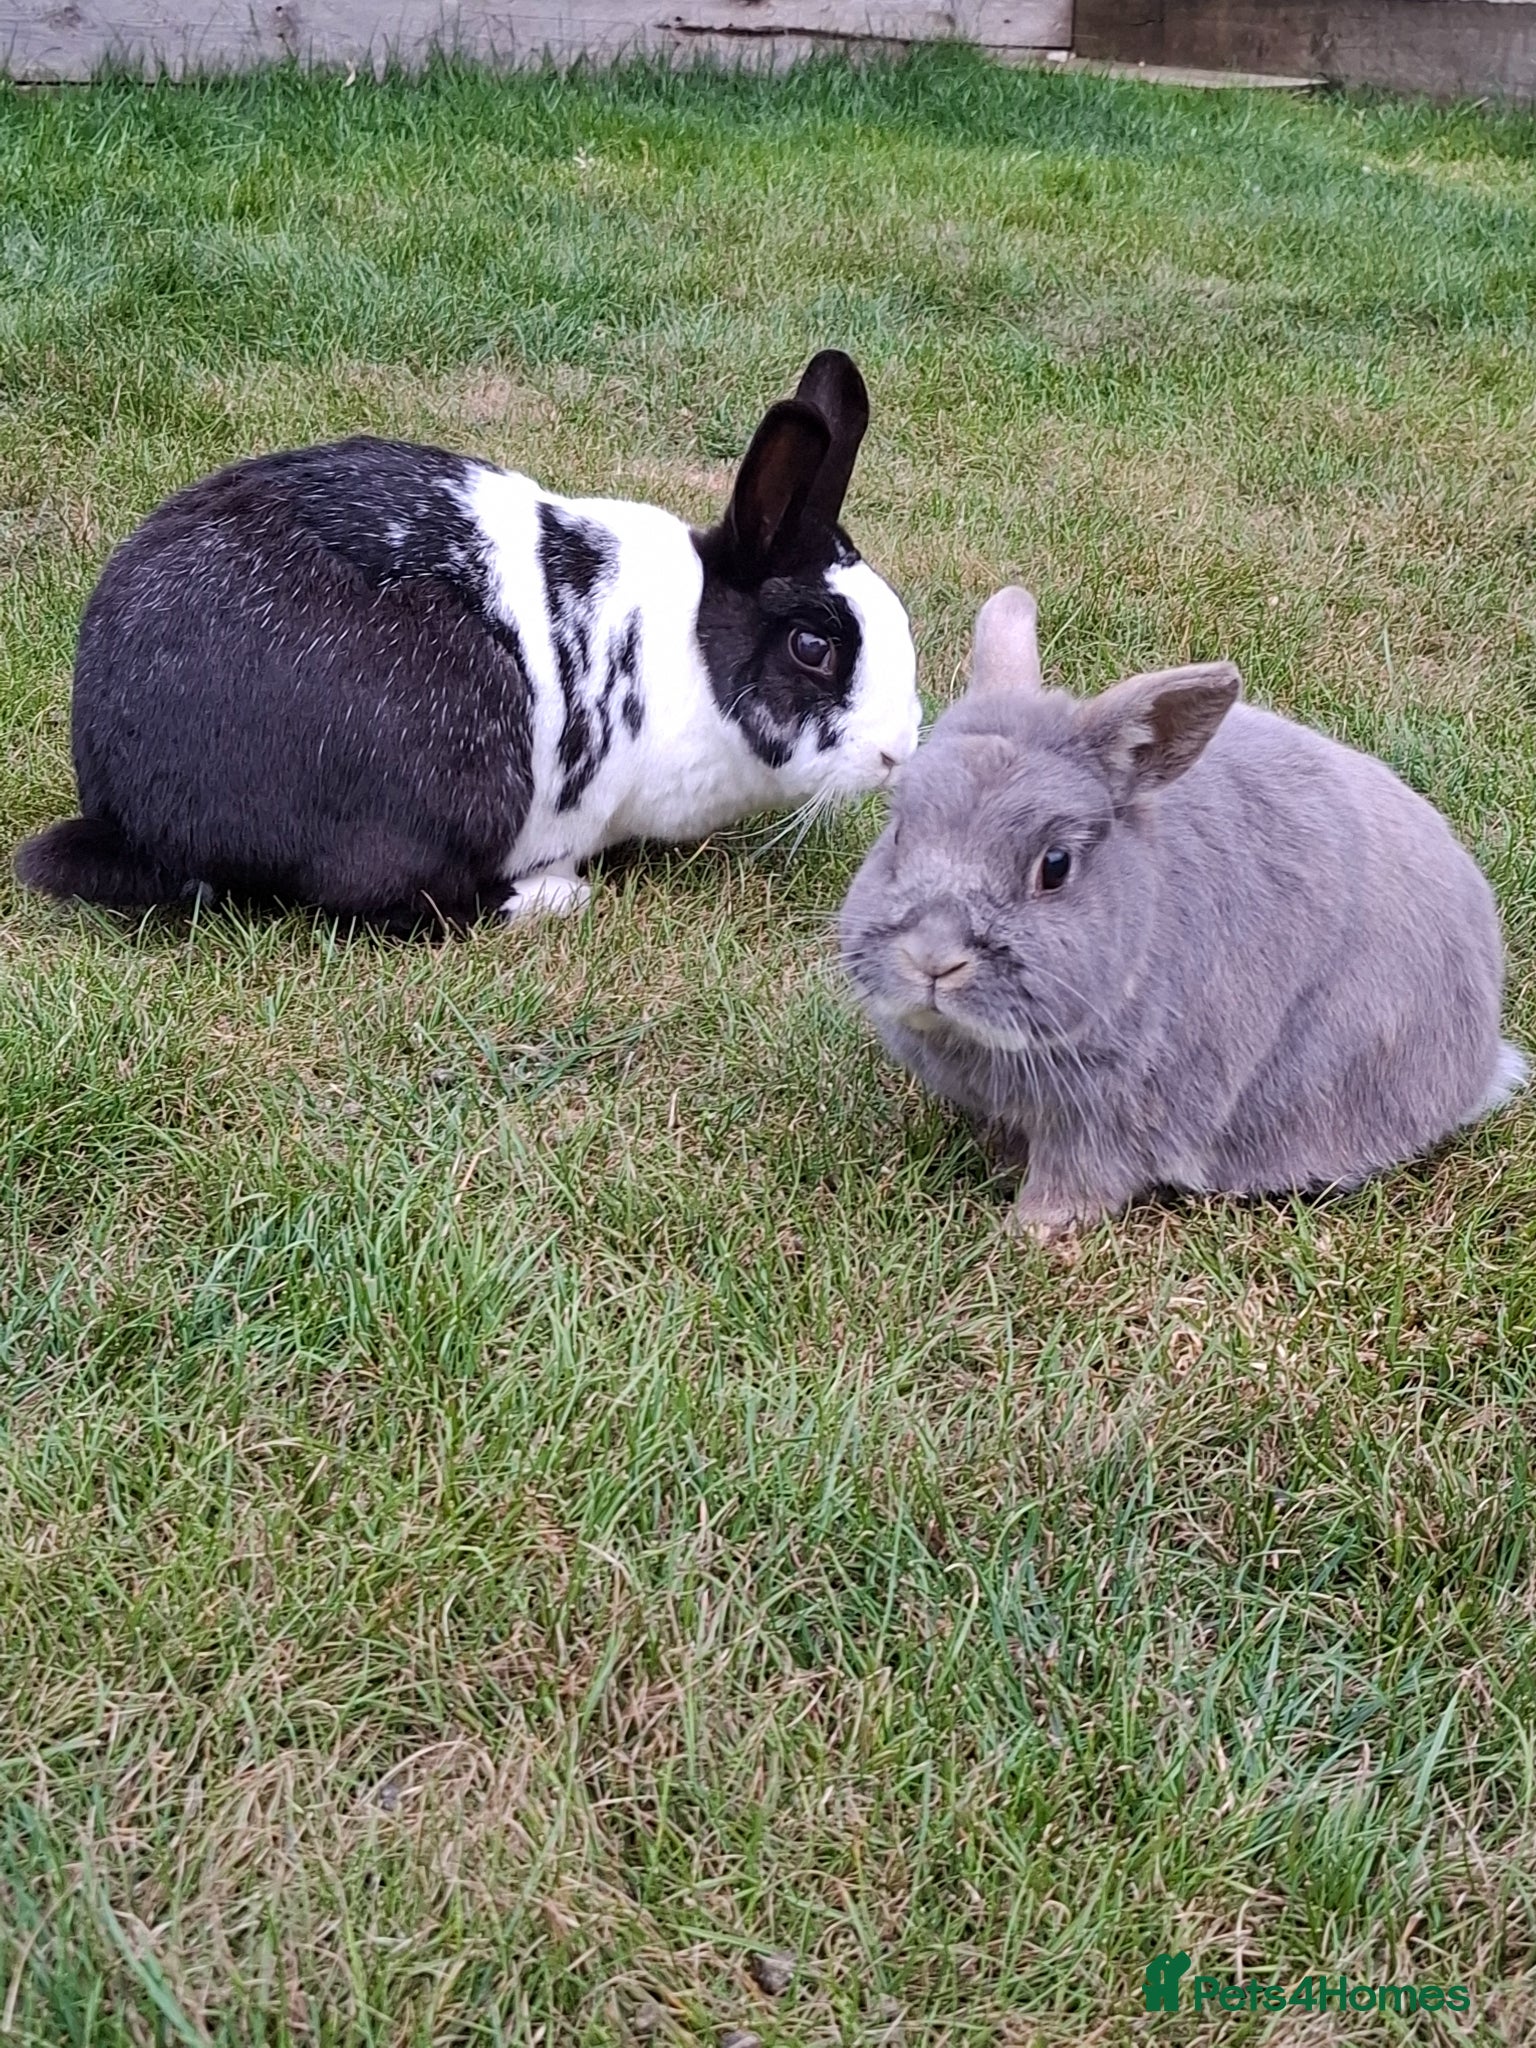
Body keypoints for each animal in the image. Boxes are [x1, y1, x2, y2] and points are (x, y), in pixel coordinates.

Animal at [15, 351, 920, 929]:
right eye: (813, 648)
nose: (898, 753)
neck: (687, 648)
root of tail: (131, 815)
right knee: (378, 905)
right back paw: (552, 900)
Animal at [840, 585, 1525, 1241]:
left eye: (1055, 865)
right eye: (899, 832)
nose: (932, 958)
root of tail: (1482, 1056)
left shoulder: (1113, 1114)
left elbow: (1078, 1176)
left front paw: (1030, 1231)